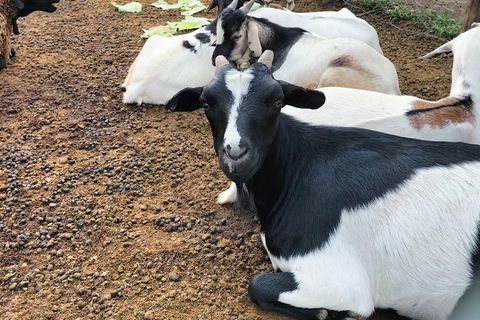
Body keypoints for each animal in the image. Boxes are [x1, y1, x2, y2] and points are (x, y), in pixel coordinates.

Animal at [164, 50, 480, 320]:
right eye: (206, 103)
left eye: (277, 101)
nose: (236, 153)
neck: (299, 170)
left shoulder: (338, 281)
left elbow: (258, 284)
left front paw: (328, 313)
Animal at [215, 0, 402, 94]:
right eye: (217, 33)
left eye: (236, 35)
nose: (214, 58)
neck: (279, 42)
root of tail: (394, 88)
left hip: (331, 76)